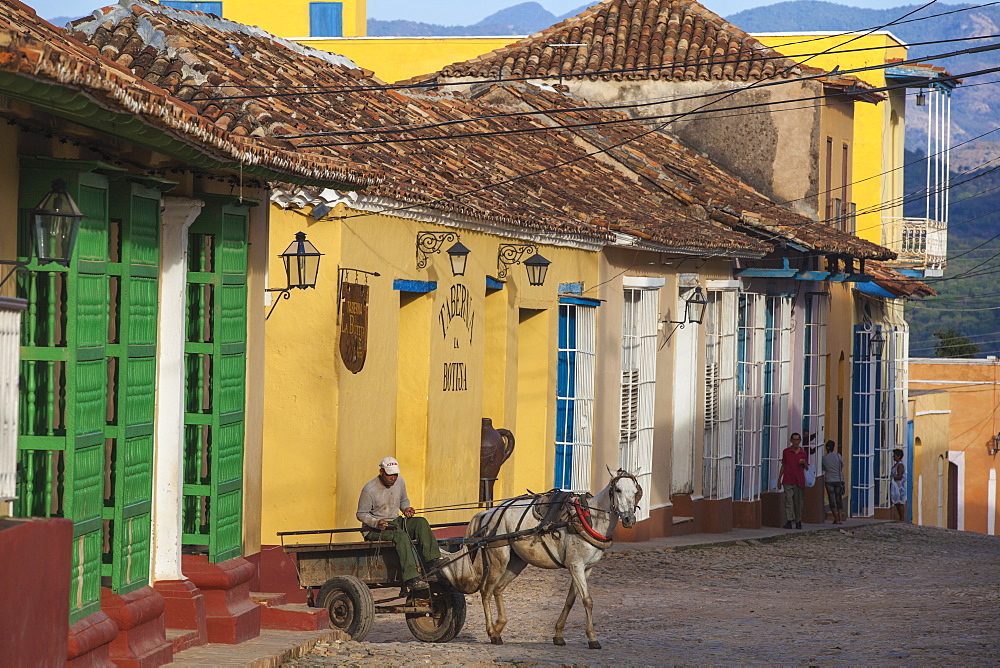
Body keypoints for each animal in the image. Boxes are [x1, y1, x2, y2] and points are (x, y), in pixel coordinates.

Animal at [442, 470, 644, 648]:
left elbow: (570, 600)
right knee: (486, 591)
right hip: (499, 559)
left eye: (635, 492)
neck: (589, 519)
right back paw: (492, 631)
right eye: (617, 490)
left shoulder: (586, 568)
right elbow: (587, 600)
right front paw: (592, 638)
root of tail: (489, 512)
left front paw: (558, 634)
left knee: (498, 589)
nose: (629, 519)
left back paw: (499, 627)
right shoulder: (576, 566)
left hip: (517, 562)